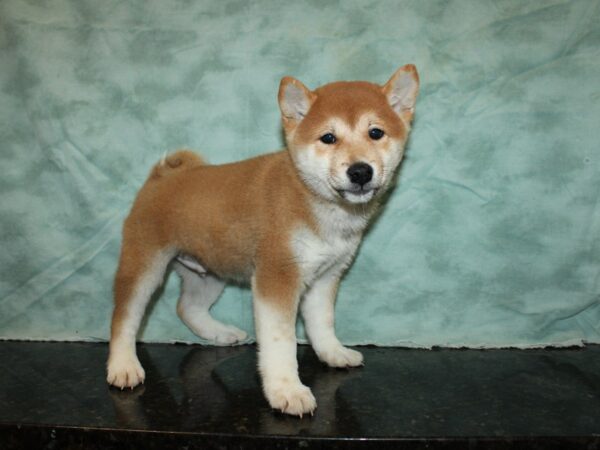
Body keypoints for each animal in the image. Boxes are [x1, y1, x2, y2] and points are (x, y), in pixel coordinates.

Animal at [105, 65, 420, 416]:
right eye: (328, 137)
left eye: (376, 133)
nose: (360, 171)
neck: (313, 201)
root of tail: (162, 177)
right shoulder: (277, 276)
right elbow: (281, 343)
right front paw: (287, 390)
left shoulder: (326, 276)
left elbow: (323, 323)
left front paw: (333, 352)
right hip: (144, 266)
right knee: (124, 318)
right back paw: (123, 366)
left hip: (210, 271)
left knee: (187, 307)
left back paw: (220, 332)